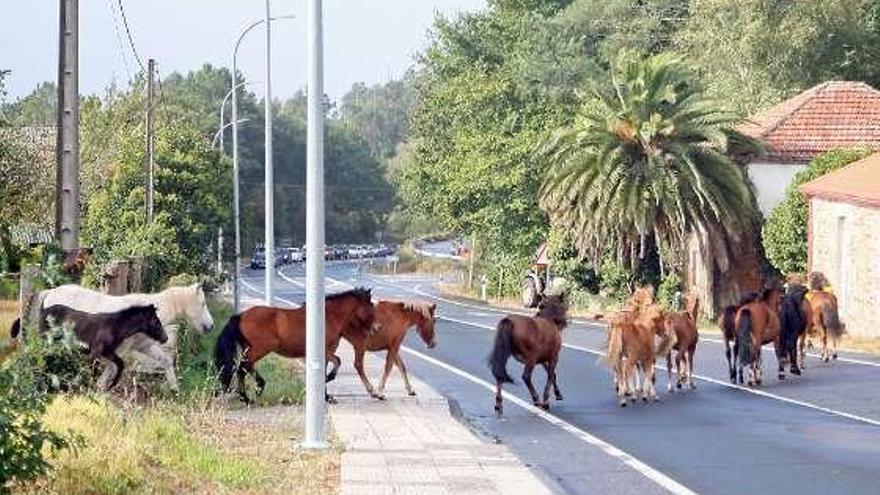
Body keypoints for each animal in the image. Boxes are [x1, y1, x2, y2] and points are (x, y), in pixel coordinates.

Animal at [39, 302, 168, 392]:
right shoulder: (95, 352)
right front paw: (88, 389)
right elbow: (93, 371)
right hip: (45, 338)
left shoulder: (107, 351)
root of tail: (44, 310)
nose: (165, 338)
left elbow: (120, 364)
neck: (115, 327)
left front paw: (110, 386)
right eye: (156, 321)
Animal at [218, 288, 376, 404]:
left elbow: (325, 369)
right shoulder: (326, 351)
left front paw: (326, 396)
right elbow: (337, 362)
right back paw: (251, 394)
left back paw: (248, 394)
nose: (375, 328)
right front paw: (327, 383)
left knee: (243, 367)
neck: (328, 317)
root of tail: (241, 316)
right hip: (260, 349)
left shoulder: (326, 353)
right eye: (371, 308)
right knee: (243, 367)